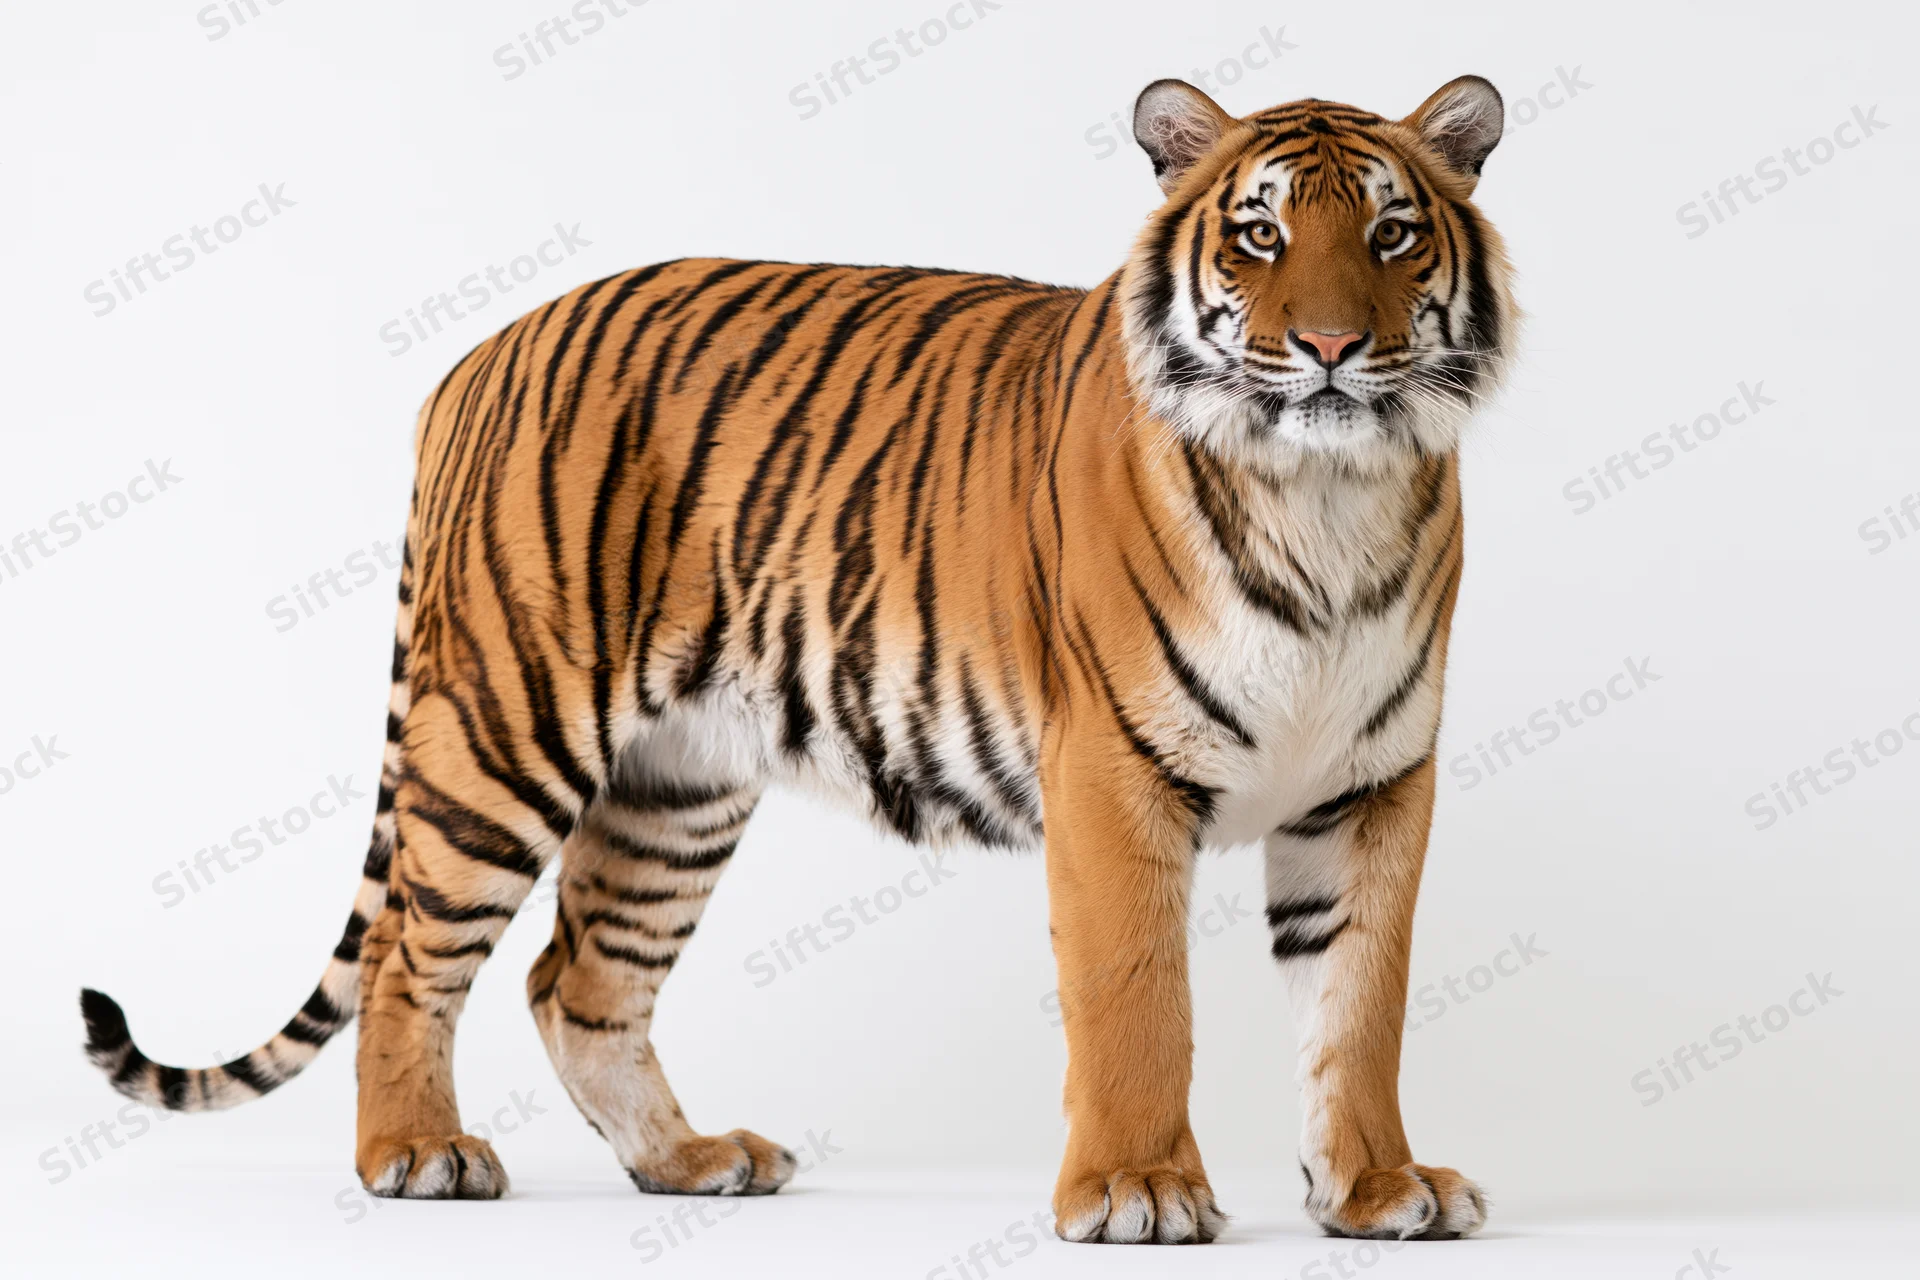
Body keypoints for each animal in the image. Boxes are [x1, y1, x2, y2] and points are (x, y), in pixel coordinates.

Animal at [78, 74, 1515, 1244]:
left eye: (1392, 234)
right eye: (1259, 234)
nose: (1328, 349)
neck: (1325, 496)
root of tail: (481, 353)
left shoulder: (1374, 783)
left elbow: (1358, 1005)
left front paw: (1382, 1189)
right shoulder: (1113, 772)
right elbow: (1138, 1000)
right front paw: (1139, 1192)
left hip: (676, 785)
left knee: (576, 979)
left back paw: (685, 1160)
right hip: (505, 727)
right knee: (407, 952)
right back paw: (417, 1154)